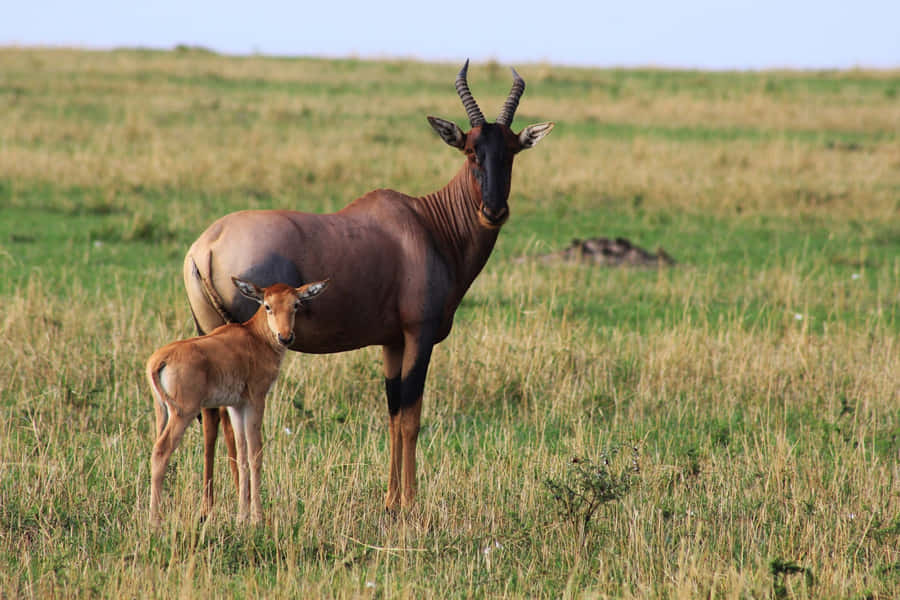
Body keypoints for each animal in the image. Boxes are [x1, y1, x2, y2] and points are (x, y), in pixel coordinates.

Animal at [147, 277, 329, 525]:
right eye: (268, 305)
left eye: (296, 304)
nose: (285, 337)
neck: (254, 337)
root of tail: (160, 359)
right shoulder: (256, 400)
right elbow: (255, 454)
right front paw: (257, 518)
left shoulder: (236, 405)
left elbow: (240, 455)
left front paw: (242, 516)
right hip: (183, 413)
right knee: (161, 451)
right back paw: (155, 521)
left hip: (162, 411)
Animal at [184, 60, 553, 511]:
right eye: (470, 150)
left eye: (512, 151)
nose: (494, 211)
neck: (428, 225)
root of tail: (208, 245)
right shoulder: (418, 335)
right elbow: (411, 417)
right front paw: (410, 504)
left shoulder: (391, 342)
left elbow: (393, 414)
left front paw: (392, 501)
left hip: (207, 330)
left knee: (210, 415)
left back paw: (209, 504)